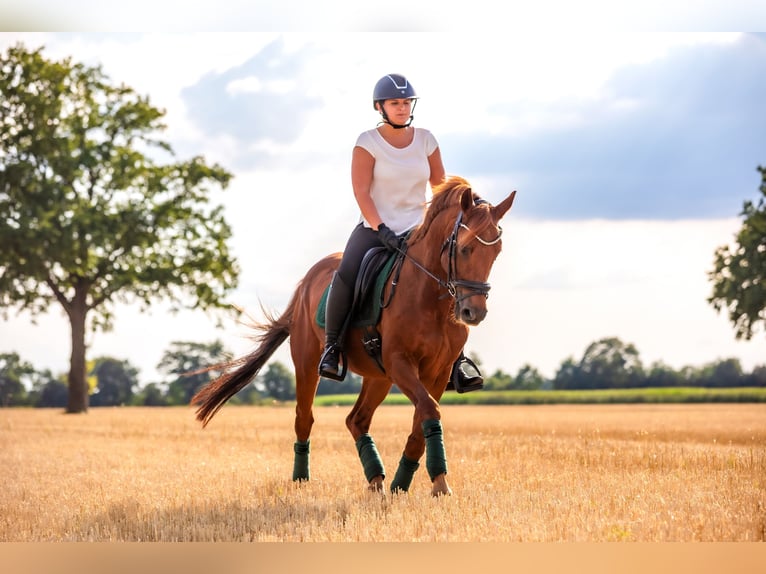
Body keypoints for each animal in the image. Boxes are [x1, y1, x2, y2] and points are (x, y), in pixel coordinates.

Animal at [191, 175, 516, 496]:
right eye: (464, 248)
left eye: (496, 252)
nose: (474, 312)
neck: (429, 298)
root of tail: (306, 282)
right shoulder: (399, 362)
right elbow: (427, 410)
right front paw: (437, 483)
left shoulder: (438, 371)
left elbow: (422, 421)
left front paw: (418, 483)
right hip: (309, 363)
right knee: (304, 417)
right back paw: (302, 480)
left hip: (378, 376)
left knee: (356, 419)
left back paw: (379, 480)